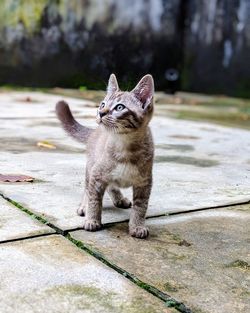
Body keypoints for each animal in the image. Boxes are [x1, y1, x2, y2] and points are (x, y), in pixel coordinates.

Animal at [56, 73, 154, 238]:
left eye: (120, 107)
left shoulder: (144, 182)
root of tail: (95, 132)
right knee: (87, 188)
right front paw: (92, 219)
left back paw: (119, 198)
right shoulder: (97, 174)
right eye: (102, 104)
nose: (100, 113)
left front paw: (137, 226)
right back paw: (84, 205)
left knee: (111, 184)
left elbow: (141, 207)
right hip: (91, 166)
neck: (124, 146)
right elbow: (94, 199)